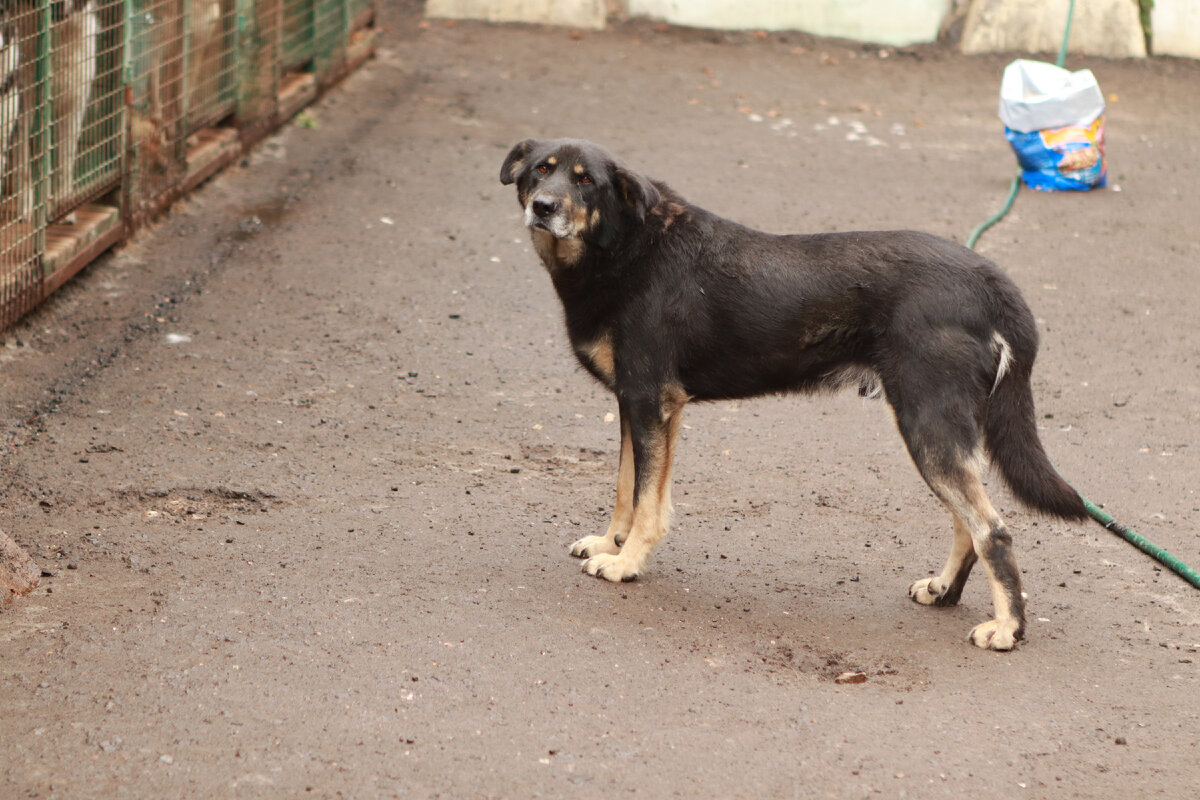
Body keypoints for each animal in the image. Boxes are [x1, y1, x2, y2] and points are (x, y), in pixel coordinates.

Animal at [496, 137, 1089, 652]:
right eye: (541, 171)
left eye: (586, 181)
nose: (544, 207)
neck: (627, 247)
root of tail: (993, 282)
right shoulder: (636, 404)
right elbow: (626, 488)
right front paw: (610, 543)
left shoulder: (651, 401)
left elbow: (646, 501)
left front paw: (626, 563)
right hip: (940, 429)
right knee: (968, 521)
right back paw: (946, 591)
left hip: (928, 425)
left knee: (993, 529)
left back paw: (1008, 628)